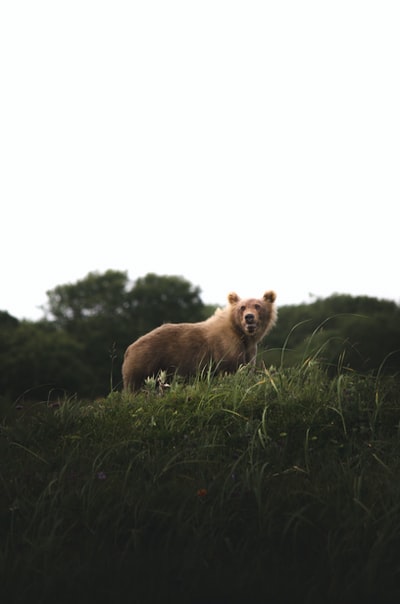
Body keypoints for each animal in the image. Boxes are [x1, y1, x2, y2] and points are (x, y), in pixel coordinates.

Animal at [122, 292, 278, 394]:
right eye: (242, 307)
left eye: (257, 306)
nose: (249, 317)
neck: (242, 334)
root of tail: (129, 348)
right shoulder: (226, 346)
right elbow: (230, 371)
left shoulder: (248, 350)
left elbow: (247, 370)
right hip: (145, 365)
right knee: (136, 389)